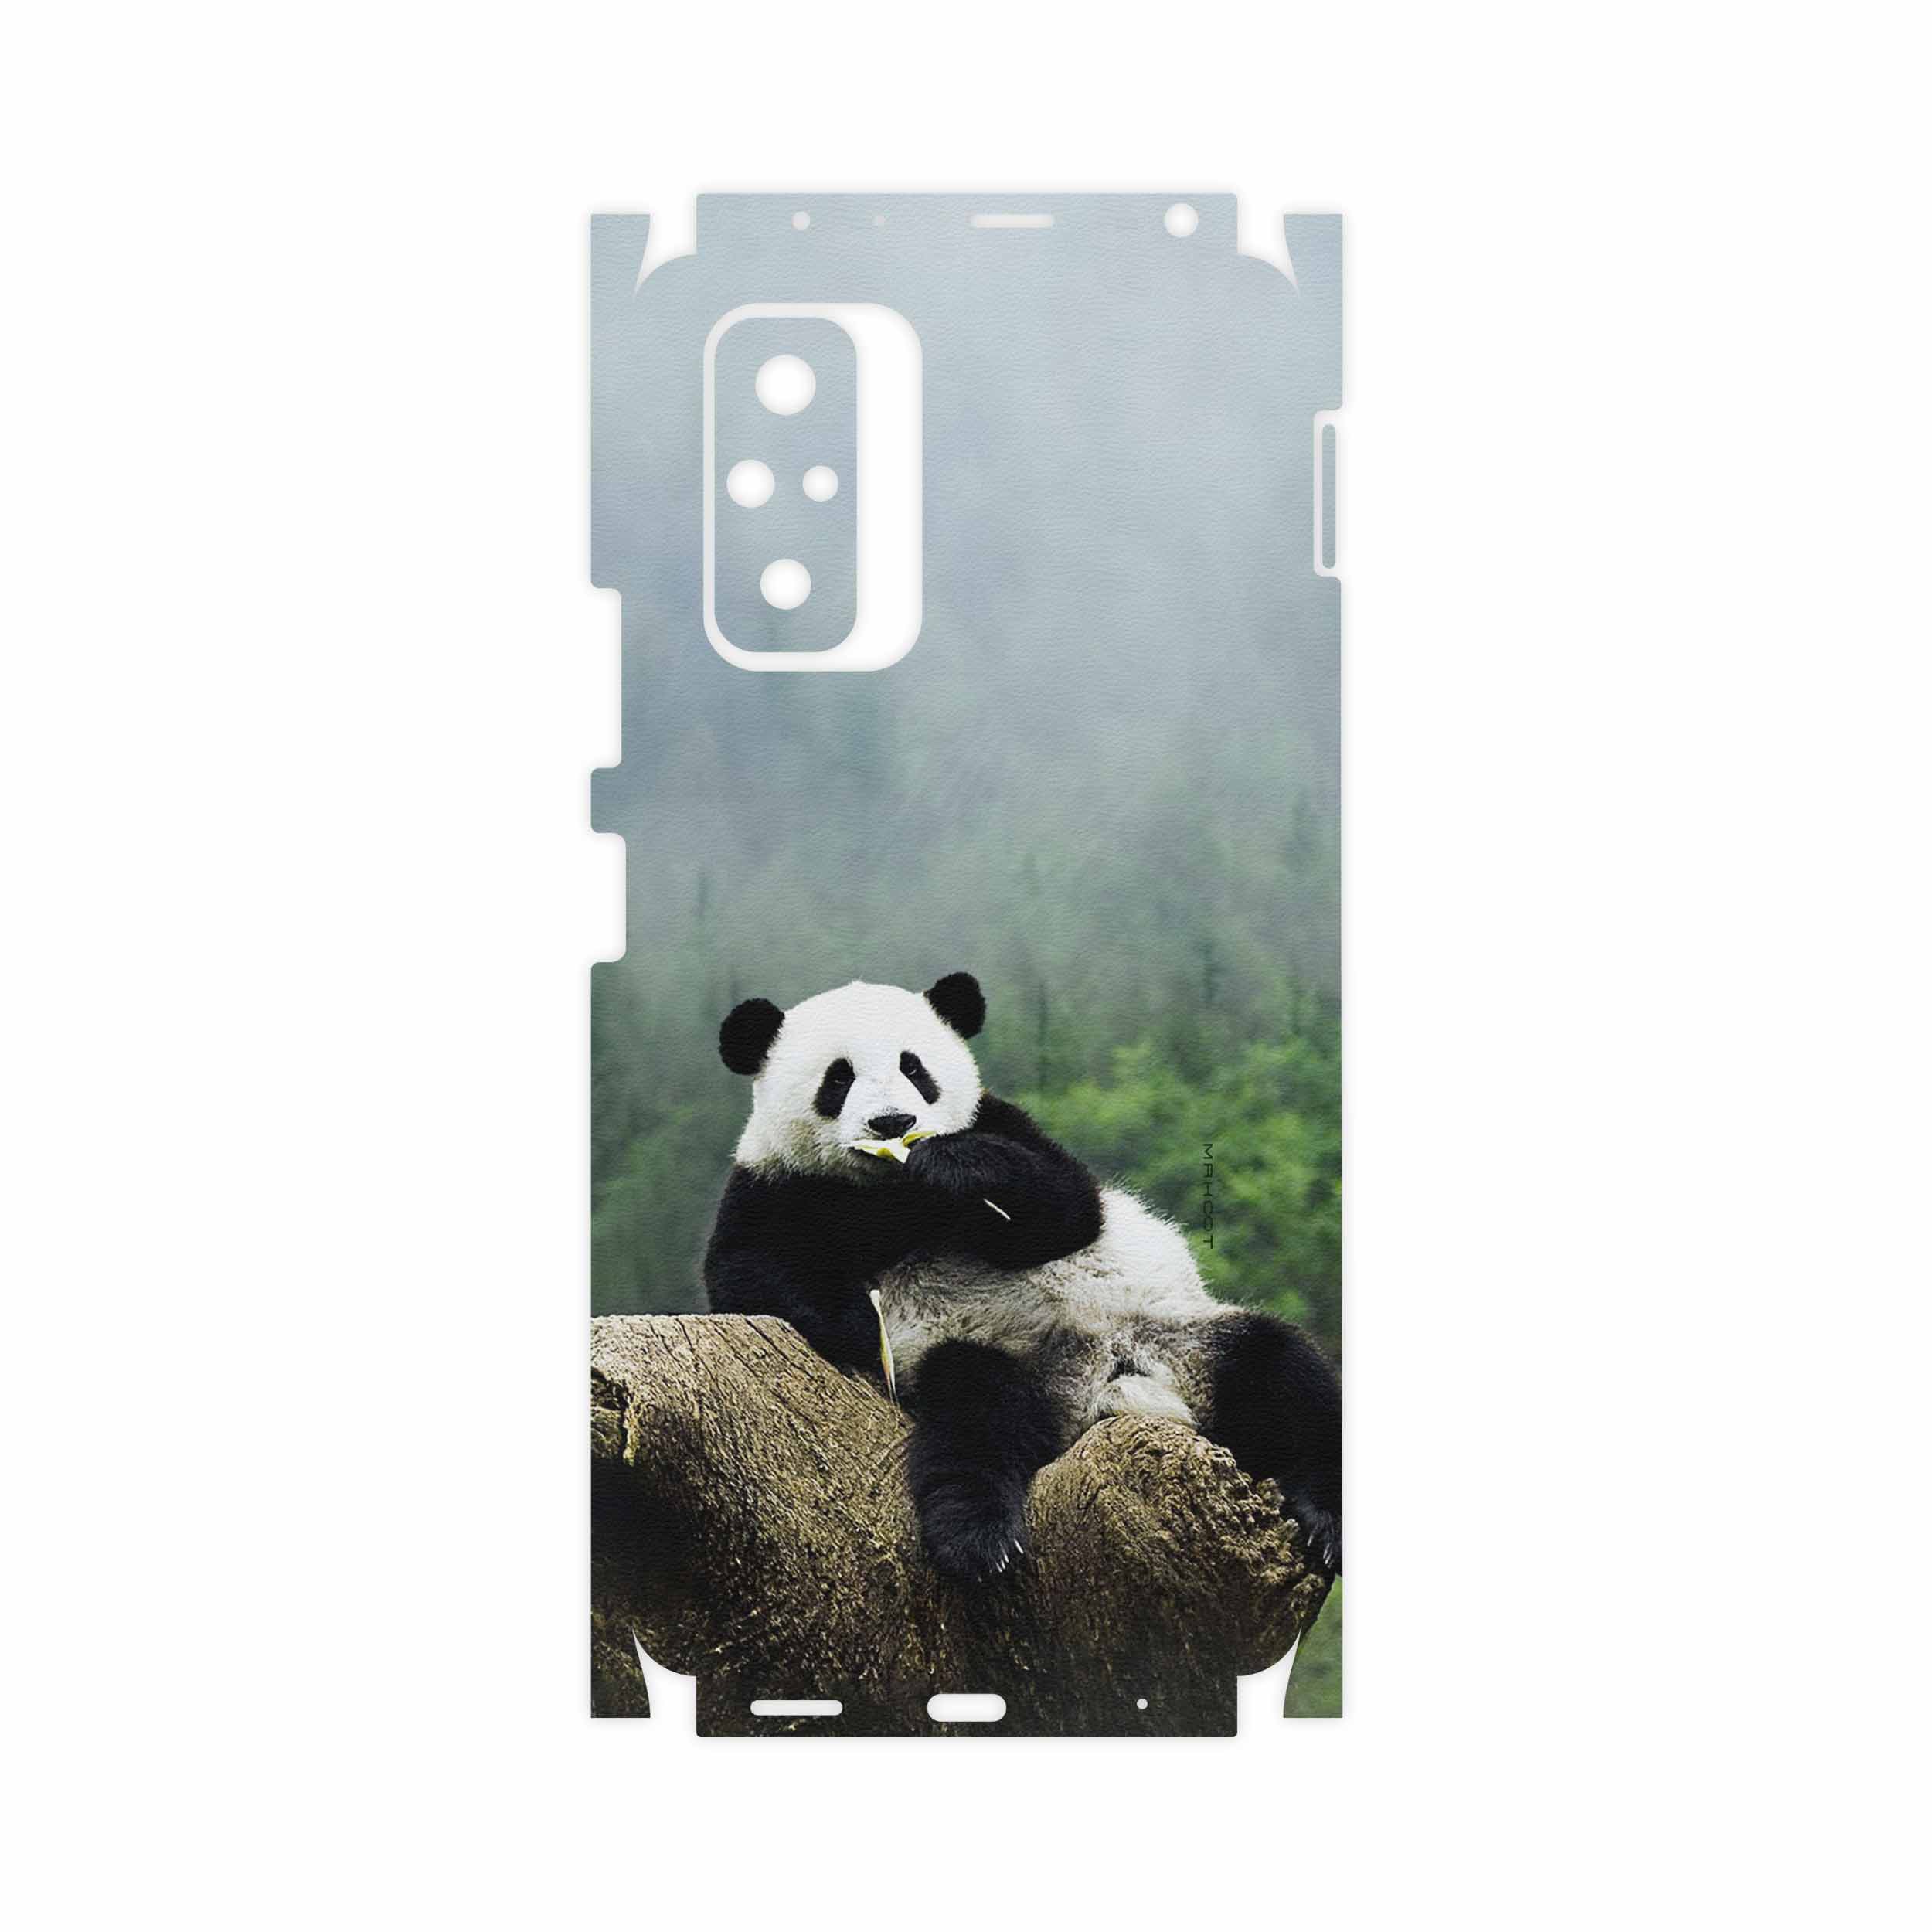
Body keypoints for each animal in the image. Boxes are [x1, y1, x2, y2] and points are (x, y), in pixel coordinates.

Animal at [704, 972, 1342, 1583]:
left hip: (1182, 1337)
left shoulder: (1002, 1123)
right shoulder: (776, 1185)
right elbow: (746, 1273)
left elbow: (1067, 1208)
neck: (890, 1191)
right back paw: (979, 1538)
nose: (893, 1122)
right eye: (838, 1078)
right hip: (992, 1357)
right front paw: (861, 1323)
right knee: (975, 1419)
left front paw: (954, 1167)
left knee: (1284, 1373)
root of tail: (1105, 1390)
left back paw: (1325, 1518)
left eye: (915, 1068)